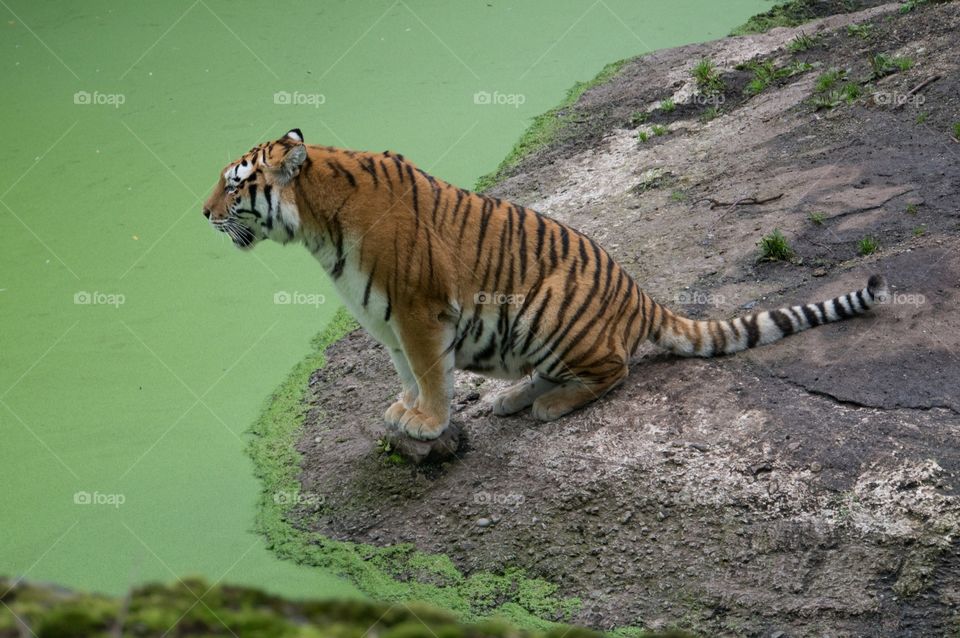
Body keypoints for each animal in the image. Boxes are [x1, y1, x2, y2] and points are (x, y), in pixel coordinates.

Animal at [203, 129, 888, 441]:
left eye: (235, 184)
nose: (202, 213)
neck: (318, 225)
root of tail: (639, 294)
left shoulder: (419, 312)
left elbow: (430, 372)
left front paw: (429, 422)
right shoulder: (386, 319)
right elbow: (405, 372)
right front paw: (406, 410)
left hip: (549, 310)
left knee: (613, 371)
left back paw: (547, 406)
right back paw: (511, 398)